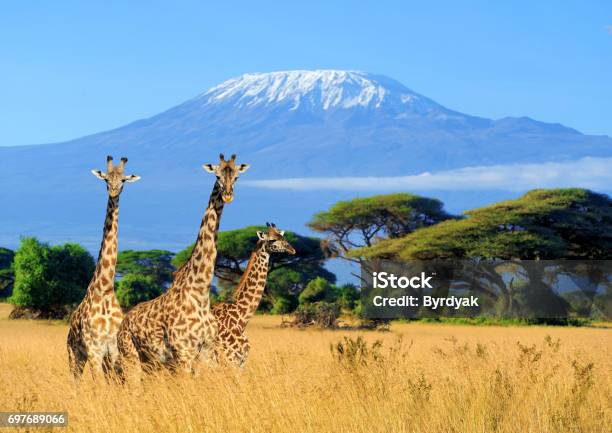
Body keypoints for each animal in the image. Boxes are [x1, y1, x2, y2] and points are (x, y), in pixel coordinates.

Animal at [66, 155, 140, 378]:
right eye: (106, 179)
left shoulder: (113, 350)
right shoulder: (94, 351)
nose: (113, 191)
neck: (105, 288)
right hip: (74, 355)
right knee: (75, 380)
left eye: (123, 180)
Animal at [118, 153, 250, 374]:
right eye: (217, 176)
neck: (200, 292)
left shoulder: (206, 352)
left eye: (237, 176)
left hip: (151, 363)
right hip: (131, 357)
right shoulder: (183, 353)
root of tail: (123, 322)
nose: (228, 195)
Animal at [212, 223, 296, 368]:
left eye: (283, 237)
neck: (241, 320)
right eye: (272, 240)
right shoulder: (231, 360)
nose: (292, 250)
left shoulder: (240, 361)